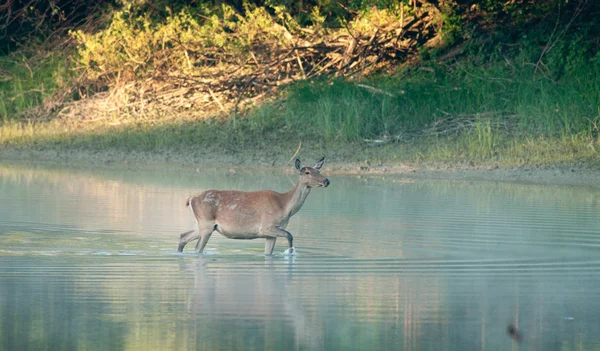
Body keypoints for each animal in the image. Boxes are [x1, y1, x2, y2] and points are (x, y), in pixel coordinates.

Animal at [176, 157, 330, 256]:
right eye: (307, 172)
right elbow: (290, 235)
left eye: (319, 171)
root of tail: (191, 199)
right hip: (206, 223)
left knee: (183, 236)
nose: (326, 181)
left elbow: (268, 253)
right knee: (197, 248)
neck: (285, 206)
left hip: (202, 224)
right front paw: (290, 253)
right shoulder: (266, 226)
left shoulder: (271, 234)